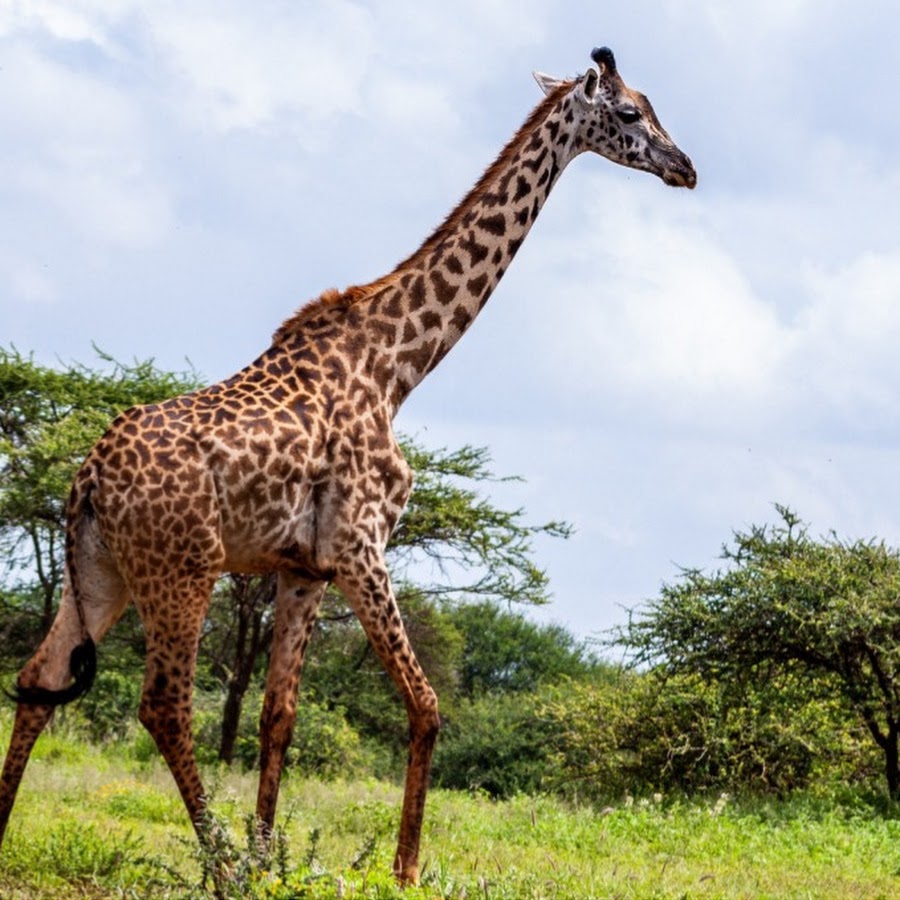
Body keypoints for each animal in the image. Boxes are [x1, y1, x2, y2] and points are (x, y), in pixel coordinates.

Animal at [0, 45, 696, 884]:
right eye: (629, 113)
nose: (686, 167)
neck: (398, 364)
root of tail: (88, 479)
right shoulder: (362, 545)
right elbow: (426, 706)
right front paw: (402, 870)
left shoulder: (303, 567)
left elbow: (278, 715)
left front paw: (271, 856)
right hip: (182, 568)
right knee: (162, 703)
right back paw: (220, 868)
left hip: (102, 570)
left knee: (39, 679)